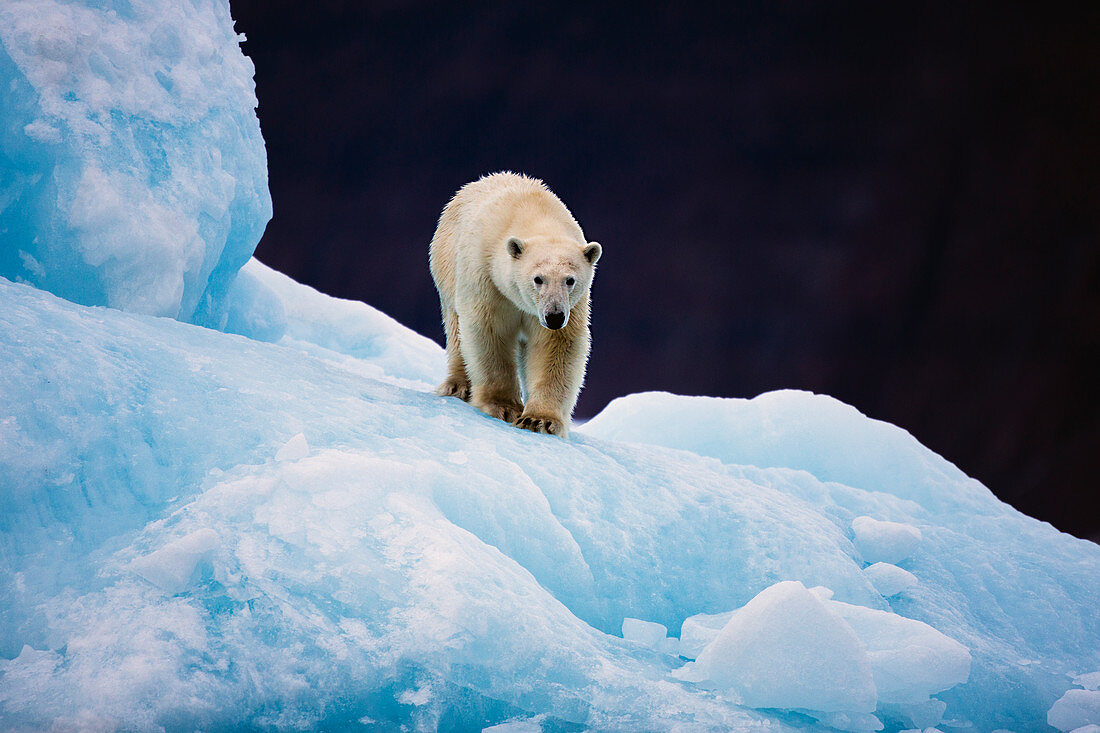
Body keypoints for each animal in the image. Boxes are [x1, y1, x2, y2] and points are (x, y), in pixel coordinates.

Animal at [429, 171, 602, 433]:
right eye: (538, 279)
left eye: (570, 280)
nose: (554, 316)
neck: (534, 213)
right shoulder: (487, 278)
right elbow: (489, 332)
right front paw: (504, 407)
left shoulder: (571, 306)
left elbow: (556, 344)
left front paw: (539, 419)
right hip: (447, 268)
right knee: (457, 330)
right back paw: (459, 386)